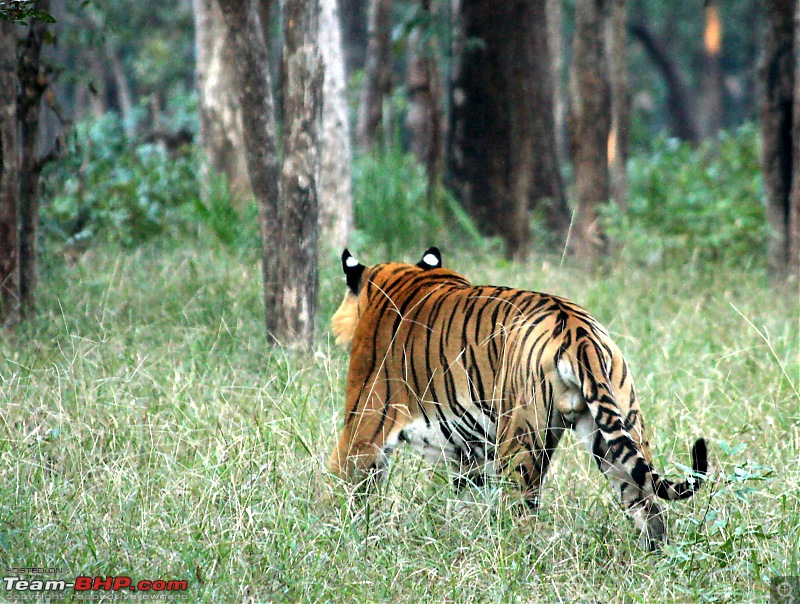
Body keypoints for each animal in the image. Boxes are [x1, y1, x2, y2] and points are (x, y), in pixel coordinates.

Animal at [326, 248, 708, 548]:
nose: (334, 327)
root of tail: (577, 328)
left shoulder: (362, 430)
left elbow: (342, 489)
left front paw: (341, 537)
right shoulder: (469, 455)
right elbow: (467, 500)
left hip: (520, 443)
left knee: (524, 515)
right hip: (615, 432)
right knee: (648, 507)